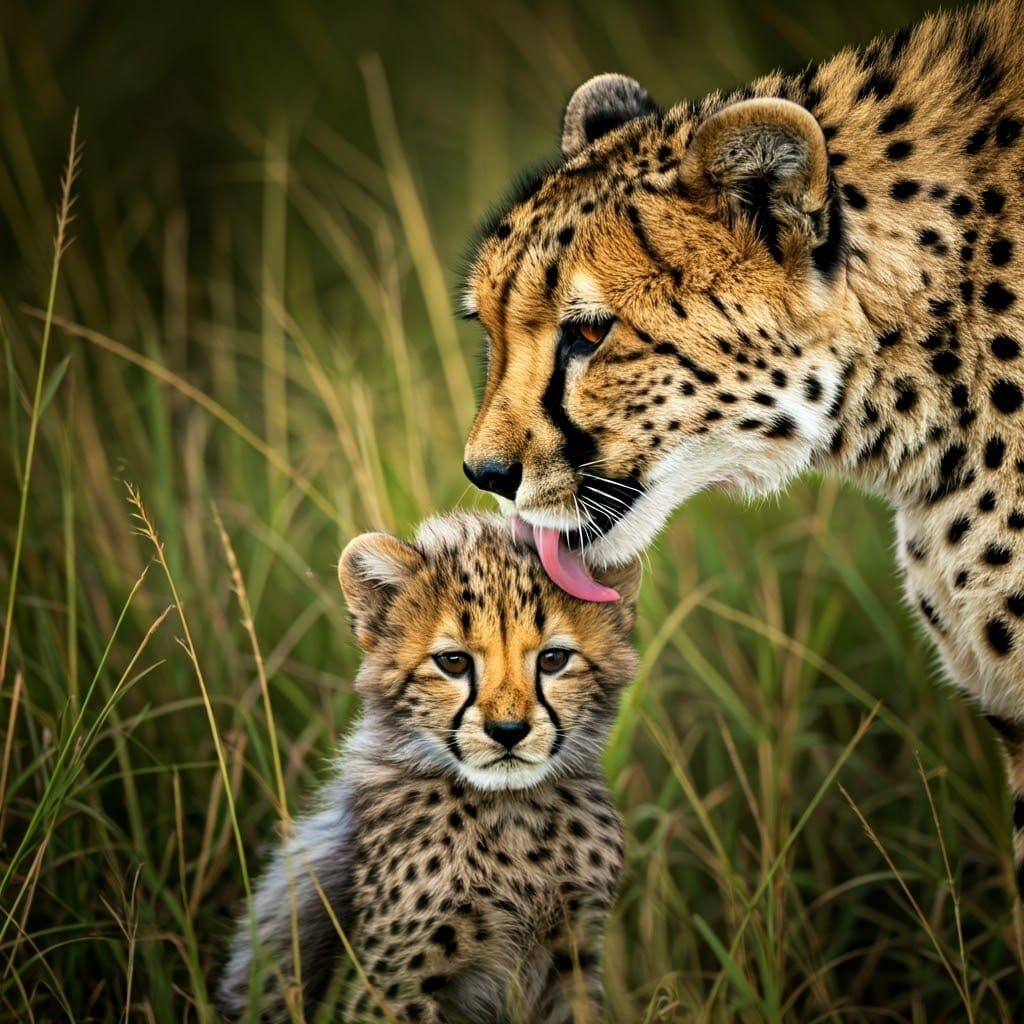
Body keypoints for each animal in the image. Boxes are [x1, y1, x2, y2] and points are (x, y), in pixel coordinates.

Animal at [218, 512, 639, 1023]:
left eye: (554, 659)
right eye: (453, 662)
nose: (508, 730)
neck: (511, 817)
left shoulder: (573, 959)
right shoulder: (393, 986)